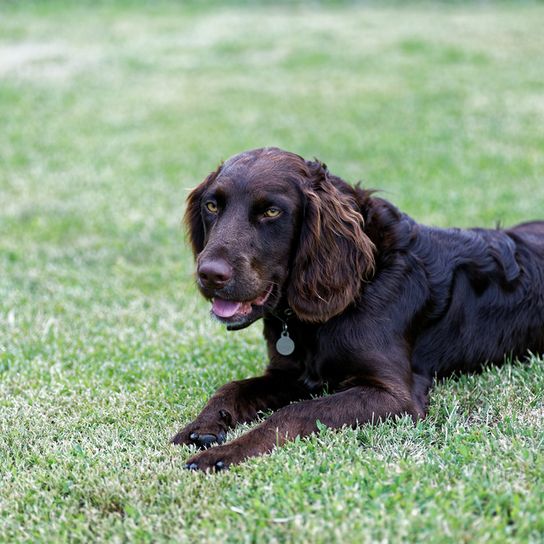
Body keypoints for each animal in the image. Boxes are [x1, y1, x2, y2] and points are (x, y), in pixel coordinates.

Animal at [173, 147, 544, 470]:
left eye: (272, 212)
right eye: (212, 205)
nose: (209, 274)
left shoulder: (393, 395)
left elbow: (296, 413)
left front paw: (224, 453)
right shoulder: (289, 373)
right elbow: (231, 388)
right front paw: (202, 425)